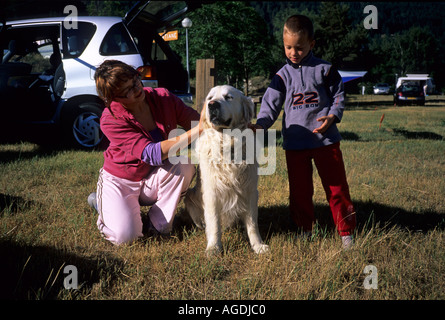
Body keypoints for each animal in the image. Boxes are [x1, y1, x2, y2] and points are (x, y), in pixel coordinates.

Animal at [183, 84, 268, 255]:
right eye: (210, 98)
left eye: (228, 97)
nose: (212, 105)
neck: (228, 145)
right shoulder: (212, 193)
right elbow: (214, 224)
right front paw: (214, 248)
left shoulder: (250, 191)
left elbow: (252, 224)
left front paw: (258, 246)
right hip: (189, 196)